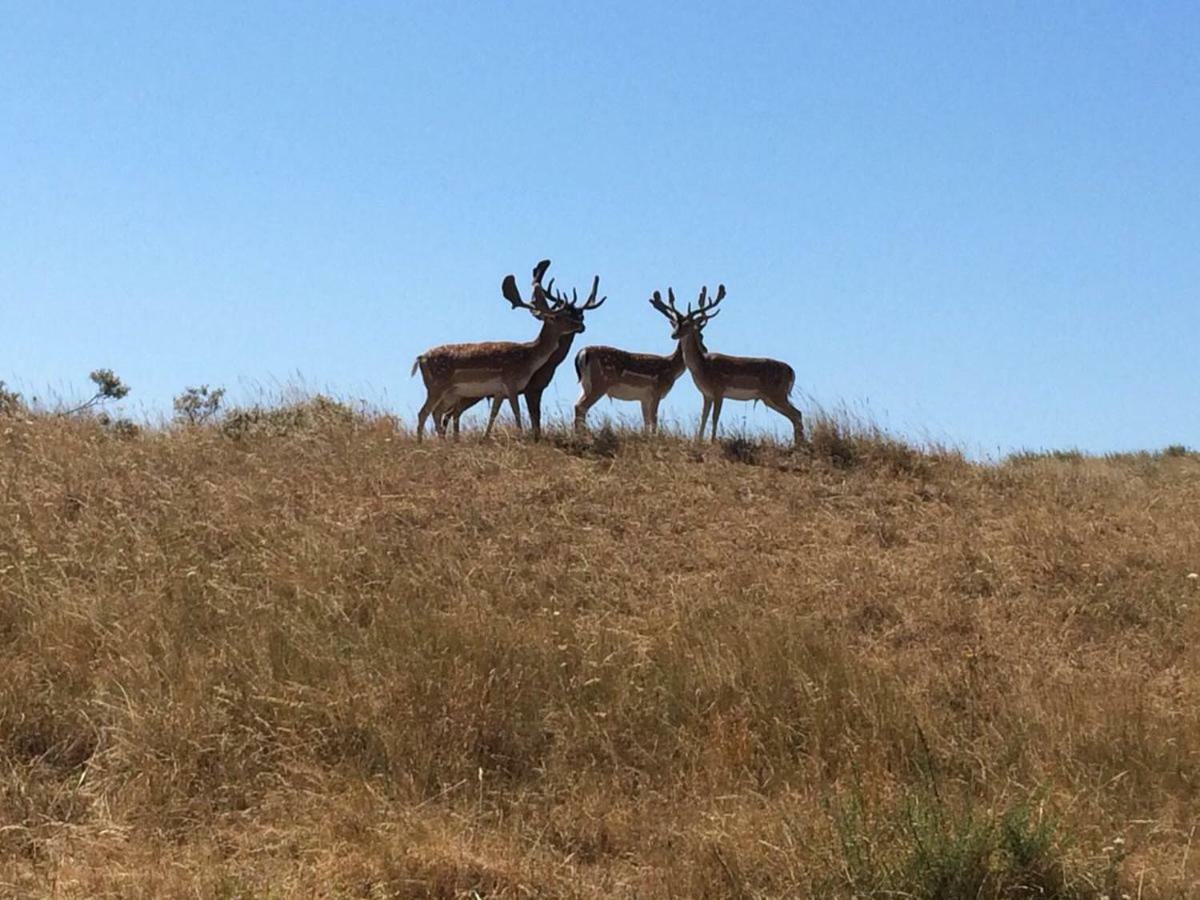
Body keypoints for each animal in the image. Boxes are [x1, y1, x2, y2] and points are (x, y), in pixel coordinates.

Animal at [412, 259, 604, 441]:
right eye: (560, 316)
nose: (581, 325)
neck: (529, 358)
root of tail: (420, 358)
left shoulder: (499, 391)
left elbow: (494, 414)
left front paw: (486, 439)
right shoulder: (512, 382)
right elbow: (518, 413)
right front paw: (521, 437)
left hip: (450, 392)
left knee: (437, 412)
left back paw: (442, 442)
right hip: (437, 385)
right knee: (424, 412)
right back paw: (421, 442)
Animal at [652, 285, 801, 444]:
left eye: (688, 325)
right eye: (676, 324)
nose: (673, 334)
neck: (702, 368)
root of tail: (791, 371)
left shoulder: (719, 389)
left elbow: (715, 417)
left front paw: (712, 441)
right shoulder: (706, 394)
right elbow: (703, 416)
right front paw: (699, 440)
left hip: (776, 393)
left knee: (797, 414)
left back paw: (799, 443)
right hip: (769, 397)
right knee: (795, 415)